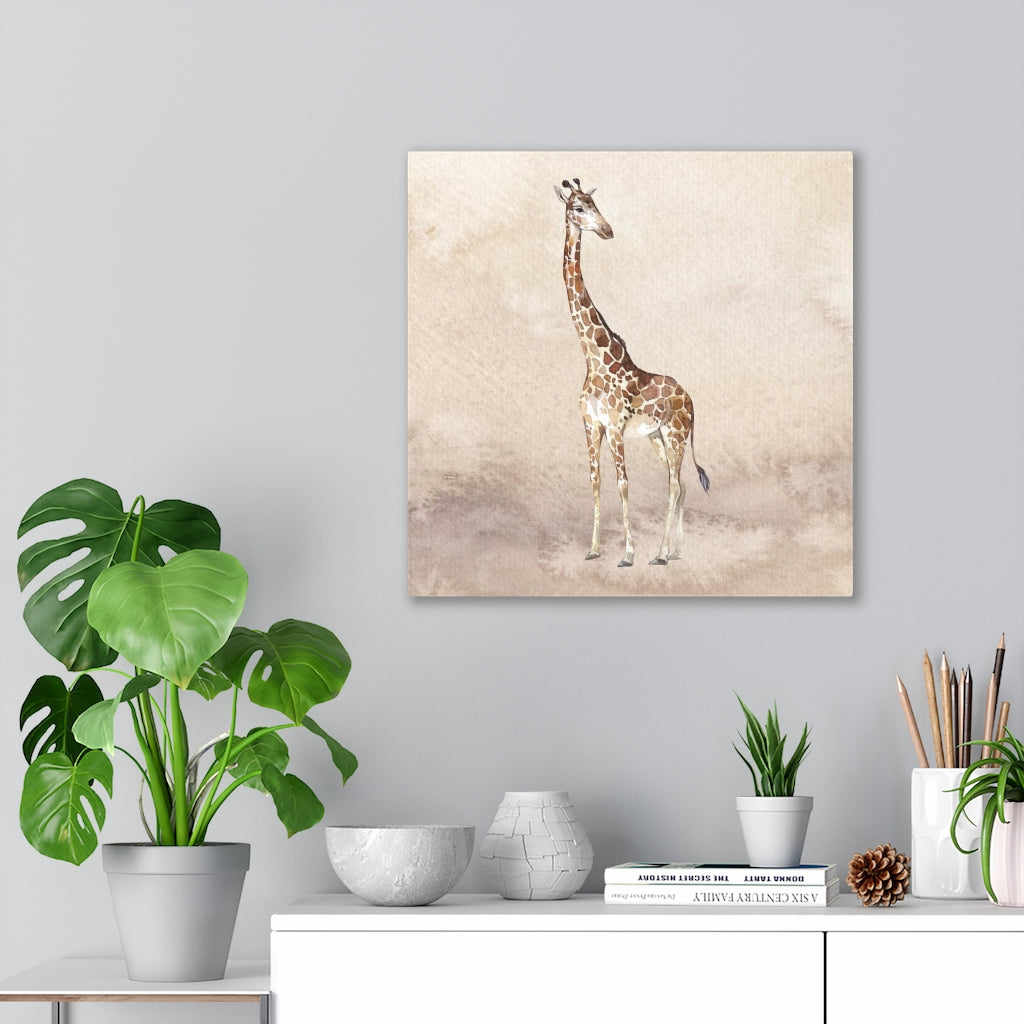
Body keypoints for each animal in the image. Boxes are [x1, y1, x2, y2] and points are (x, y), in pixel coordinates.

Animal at [554, 178, 710, 567]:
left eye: (595, 204)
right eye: (578, 207)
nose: (607, 230)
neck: (593, 358)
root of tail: (691, 398)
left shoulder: (614, 428)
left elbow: (624, 484)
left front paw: (627, 554)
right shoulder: (591, 425)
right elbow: (595, 482)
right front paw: (594, 549)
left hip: (675, 434)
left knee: (673, 484)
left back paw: (660, 554)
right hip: (657, 437)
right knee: (681, 483)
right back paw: (675, 551)